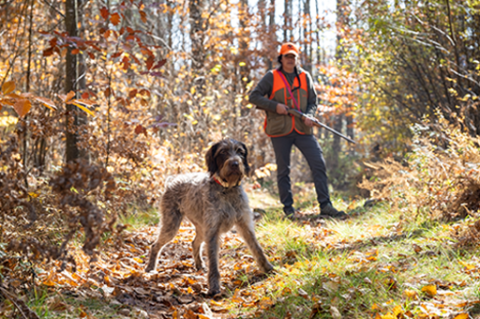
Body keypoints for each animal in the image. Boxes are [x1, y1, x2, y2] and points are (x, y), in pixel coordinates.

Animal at [145, 139, 274, 296]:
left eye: (240, 152)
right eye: (223, 152)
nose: (235, 163)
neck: (227, 190)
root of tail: (173, 180)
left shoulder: (245, 224)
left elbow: (257, 249)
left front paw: (268, 268)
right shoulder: (213, 231)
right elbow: (213, 262)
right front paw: (214, 286)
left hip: (201, 228)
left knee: (194, 243)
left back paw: (199, 265)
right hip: (172, 226)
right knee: (155, 245)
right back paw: (150, 267)